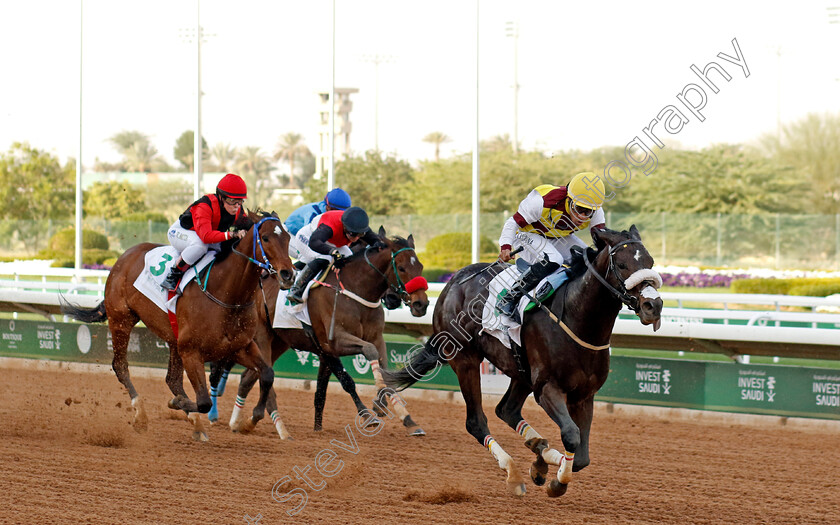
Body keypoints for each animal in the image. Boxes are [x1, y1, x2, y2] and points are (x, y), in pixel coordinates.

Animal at [60, 209, 296, 438]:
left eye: (287, 238)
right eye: (265, 238)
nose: (288, 275)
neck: (227, 294)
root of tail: (122, 258)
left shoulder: (239, 347)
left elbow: (267, 373)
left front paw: (251, 418)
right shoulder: (192, 351)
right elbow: (203, 401)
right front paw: (178, 403)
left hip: (173, 339)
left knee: (171, 379)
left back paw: (196, 425)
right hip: (121, 320)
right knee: (121, 366)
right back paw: (141, 415)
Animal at [220, 227, 430, 436]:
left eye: (420, 267)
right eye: (401, 268)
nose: (421, 304)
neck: (355, 290)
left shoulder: (374, 339)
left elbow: (382, 371)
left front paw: (405, 417)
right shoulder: (332, 342)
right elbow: (352, 374)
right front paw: (369, 414)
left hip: (279, 341)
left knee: (249, 376)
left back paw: (239, 423)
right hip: (263, 336)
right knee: (265, 374)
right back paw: (274, 426)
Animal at [384, 225, 668, 496]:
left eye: (651, 261)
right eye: (621, 264)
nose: (653, 306)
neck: (577, 318)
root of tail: (453, 281)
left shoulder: (583, 396)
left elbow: (581, 458)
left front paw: (543, 465)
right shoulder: (547, 388)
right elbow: (571, 436)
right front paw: (556, 483)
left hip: (520, 371)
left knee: (506, 410)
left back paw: (537, 449)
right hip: (465, 360)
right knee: (476, 422)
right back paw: (513, 472)